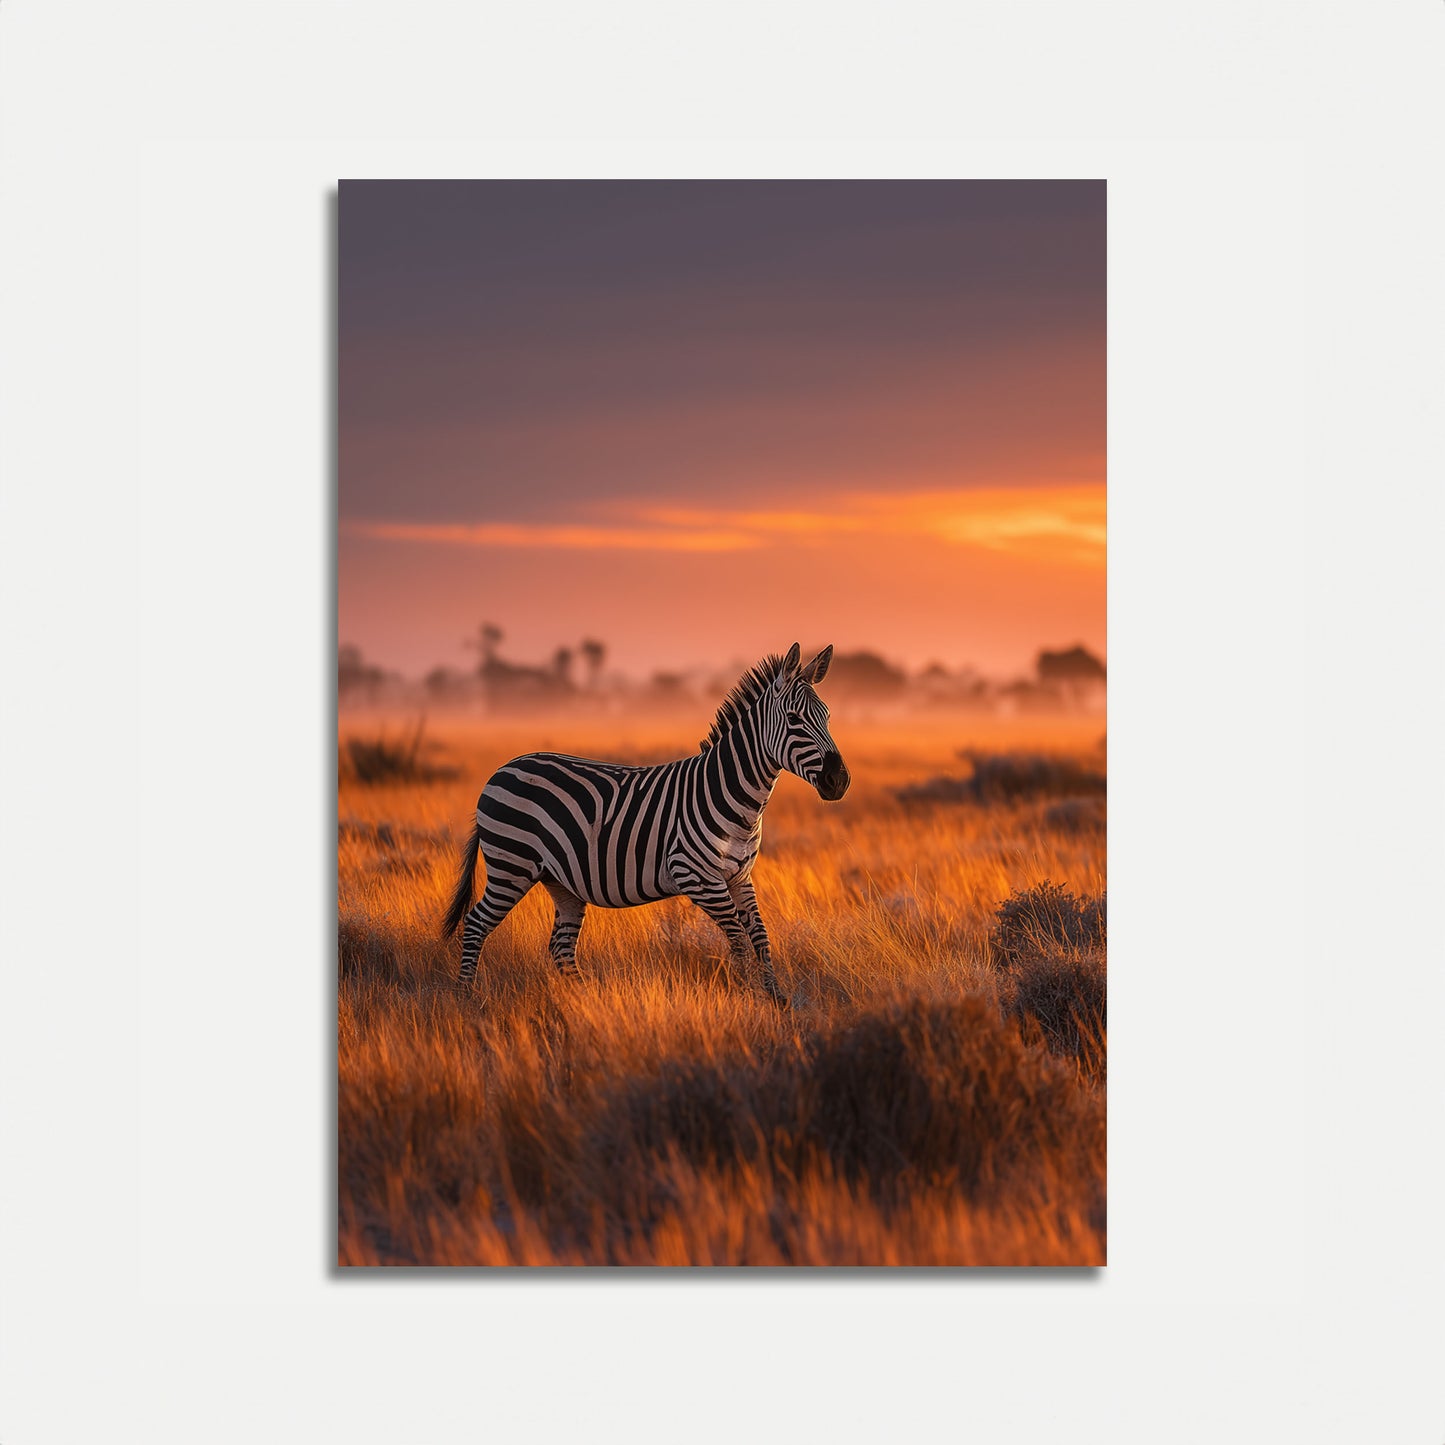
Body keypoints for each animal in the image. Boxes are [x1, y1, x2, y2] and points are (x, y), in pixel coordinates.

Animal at [442, 642, 850, 1002]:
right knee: (476, 924)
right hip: (511, 865)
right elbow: (738, 941)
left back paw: (588, 1002)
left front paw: (777, 999)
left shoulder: (739, 877)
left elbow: (761, 938)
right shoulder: (698, 877)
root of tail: (502, 768)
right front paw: (750, 997)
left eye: (828, 717)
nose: (839, 780)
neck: (736, 799)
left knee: (560, 945)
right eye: (794, 720)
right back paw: (466, 998)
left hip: (559, 881)